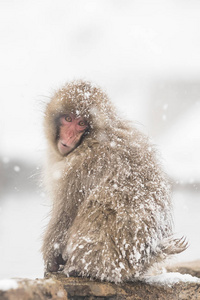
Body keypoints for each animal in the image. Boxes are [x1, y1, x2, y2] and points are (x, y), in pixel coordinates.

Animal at [42, 79, 188, 282]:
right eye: (68, 119)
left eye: (81, 123)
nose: (69, 136)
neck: (93, 137)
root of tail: (143, 260)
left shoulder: (79, 168)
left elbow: (65, 214)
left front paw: (52, 260)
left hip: (108, 255)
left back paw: (78, 268)